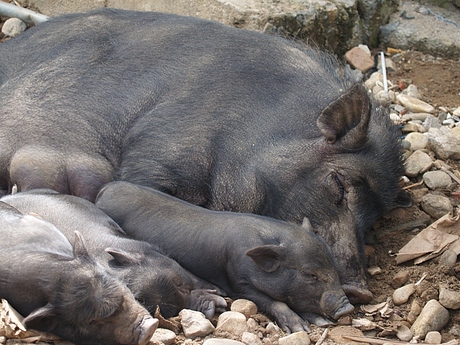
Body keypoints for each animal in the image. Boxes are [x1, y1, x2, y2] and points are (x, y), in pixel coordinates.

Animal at [95, 180, 354, 334]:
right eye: (310, 275)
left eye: (332, 267)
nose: (347, 309)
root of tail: (107, 188)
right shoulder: (237, 281)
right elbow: (273, 301)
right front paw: (301, 330)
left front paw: (322, 323)